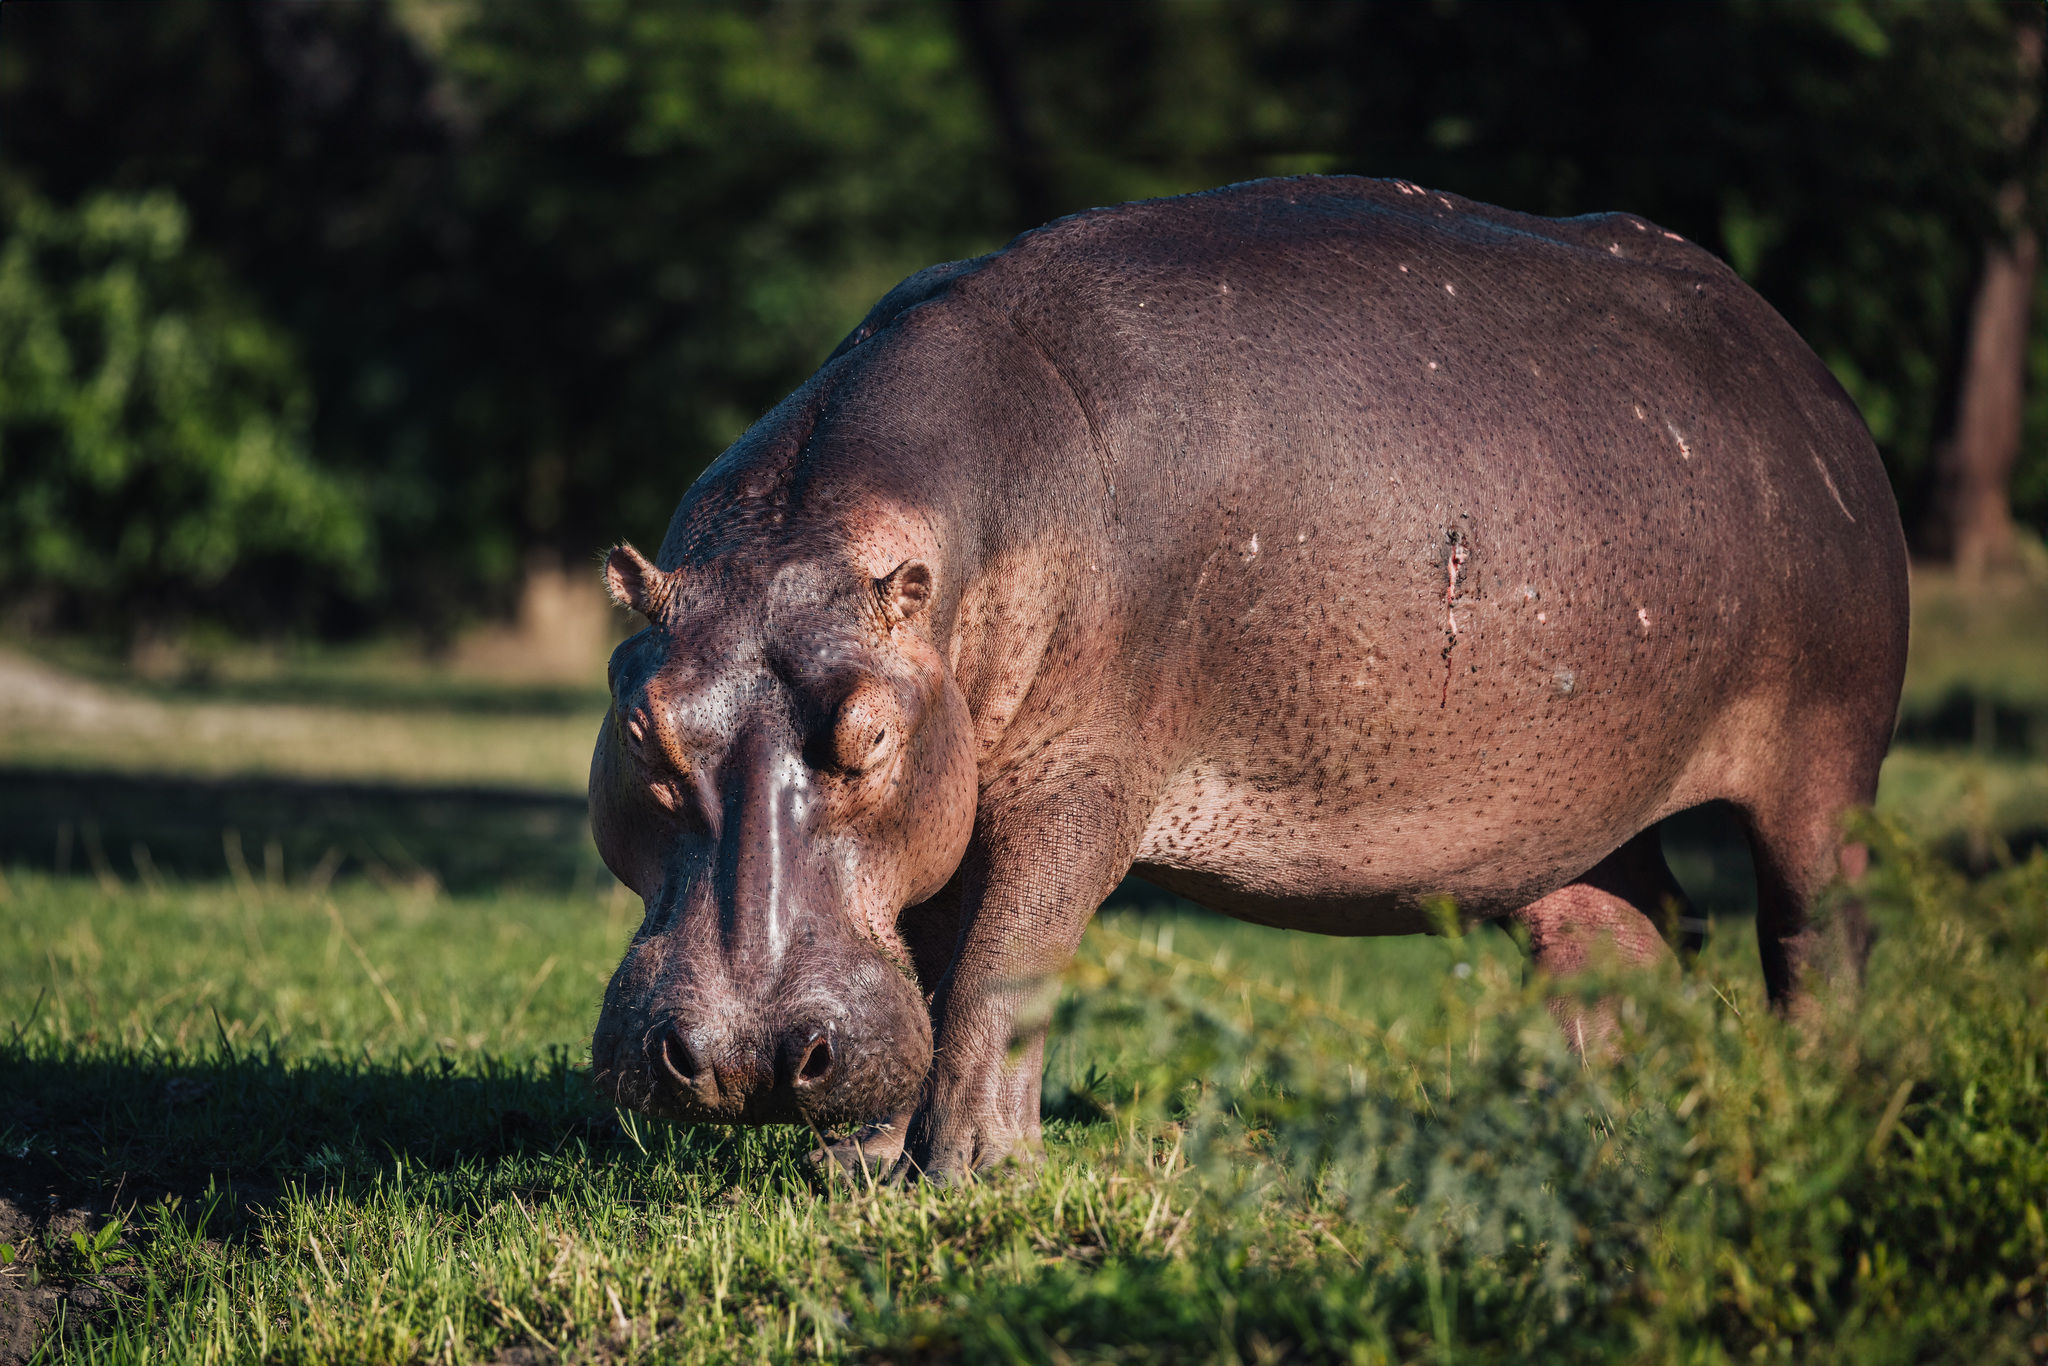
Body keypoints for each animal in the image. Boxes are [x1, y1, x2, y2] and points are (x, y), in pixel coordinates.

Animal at [588, 176, 1908, 1181]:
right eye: (642, 729)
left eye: (866, 738)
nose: (748, 1058)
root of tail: (1798, 366)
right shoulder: (953, 783)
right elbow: (924, 954)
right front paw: (860, 1165)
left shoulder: (1072, 785)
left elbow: (999, 961)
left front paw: (969, 1172)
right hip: (1562, 803)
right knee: (1619, 935)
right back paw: (1567, 1122)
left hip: (1824, 760)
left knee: (1815, 930)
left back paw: (1815, 1099)